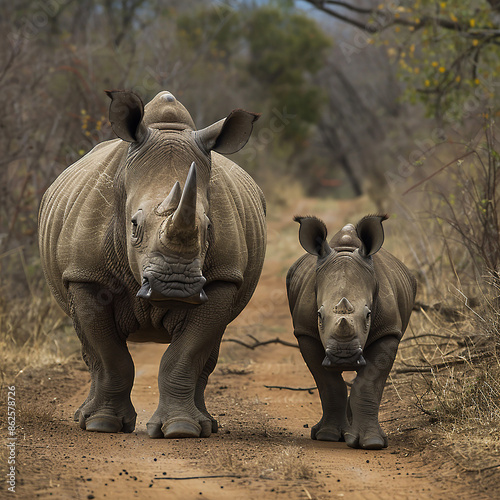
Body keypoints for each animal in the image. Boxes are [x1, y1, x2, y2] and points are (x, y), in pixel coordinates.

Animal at [38, 90, 266, 438]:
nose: (175, 286)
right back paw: (84, 418)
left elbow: (185, 355)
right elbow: (109, 355)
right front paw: (102, 425)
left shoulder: (223, 278)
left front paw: (181, 429)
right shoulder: (85, 275)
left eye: (209, 227)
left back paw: (208, 425)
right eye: (133, 225)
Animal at [288, 215, 416, 450]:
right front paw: (328, 436)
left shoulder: (388, 332)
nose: (344, 356)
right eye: (319, 315)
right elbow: (329, 384)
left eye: (368, 315)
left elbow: (368, 383)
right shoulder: (305, 332)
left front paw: (373, 442)